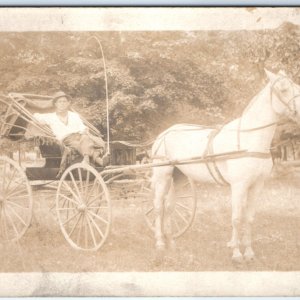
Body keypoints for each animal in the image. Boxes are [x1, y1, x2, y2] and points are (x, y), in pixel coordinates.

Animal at [151, 70, 300, 262]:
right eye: (283, 90)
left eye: (296, 86)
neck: (249, 140)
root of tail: (164, 133)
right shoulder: (238, 186)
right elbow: (236, 218)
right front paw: (236, 253)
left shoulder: (257, 186)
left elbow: (249, 218)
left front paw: (249, 252)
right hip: (162, 176)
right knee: (158, 207)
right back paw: (160, 243)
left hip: (178, 177)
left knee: (169, 207)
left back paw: (172, 243)